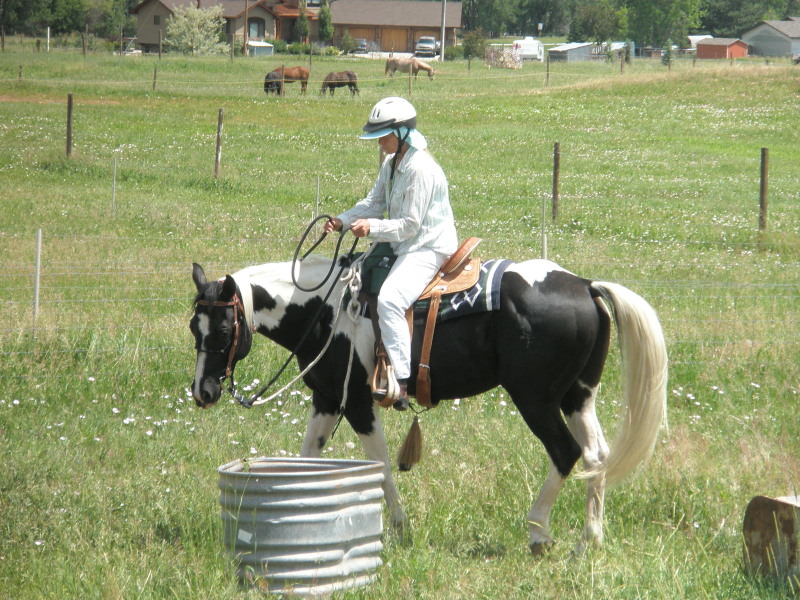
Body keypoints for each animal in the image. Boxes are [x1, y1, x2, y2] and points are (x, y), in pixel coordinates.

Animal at [189, 253, 668, 552]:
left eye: (224, 329)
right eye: (195, 328)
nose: (203, 392)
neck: (325, 312)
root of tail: (586, 286)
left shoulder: (358, 403)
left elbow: (380, 465)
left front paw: (400, 529)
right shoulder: (327, 398)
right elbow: (309, 458)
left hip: (535, 399)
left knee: (565, 452)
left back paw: (538, 534)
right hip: (577, 396)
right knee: (596, 455)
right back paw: (588, 540)